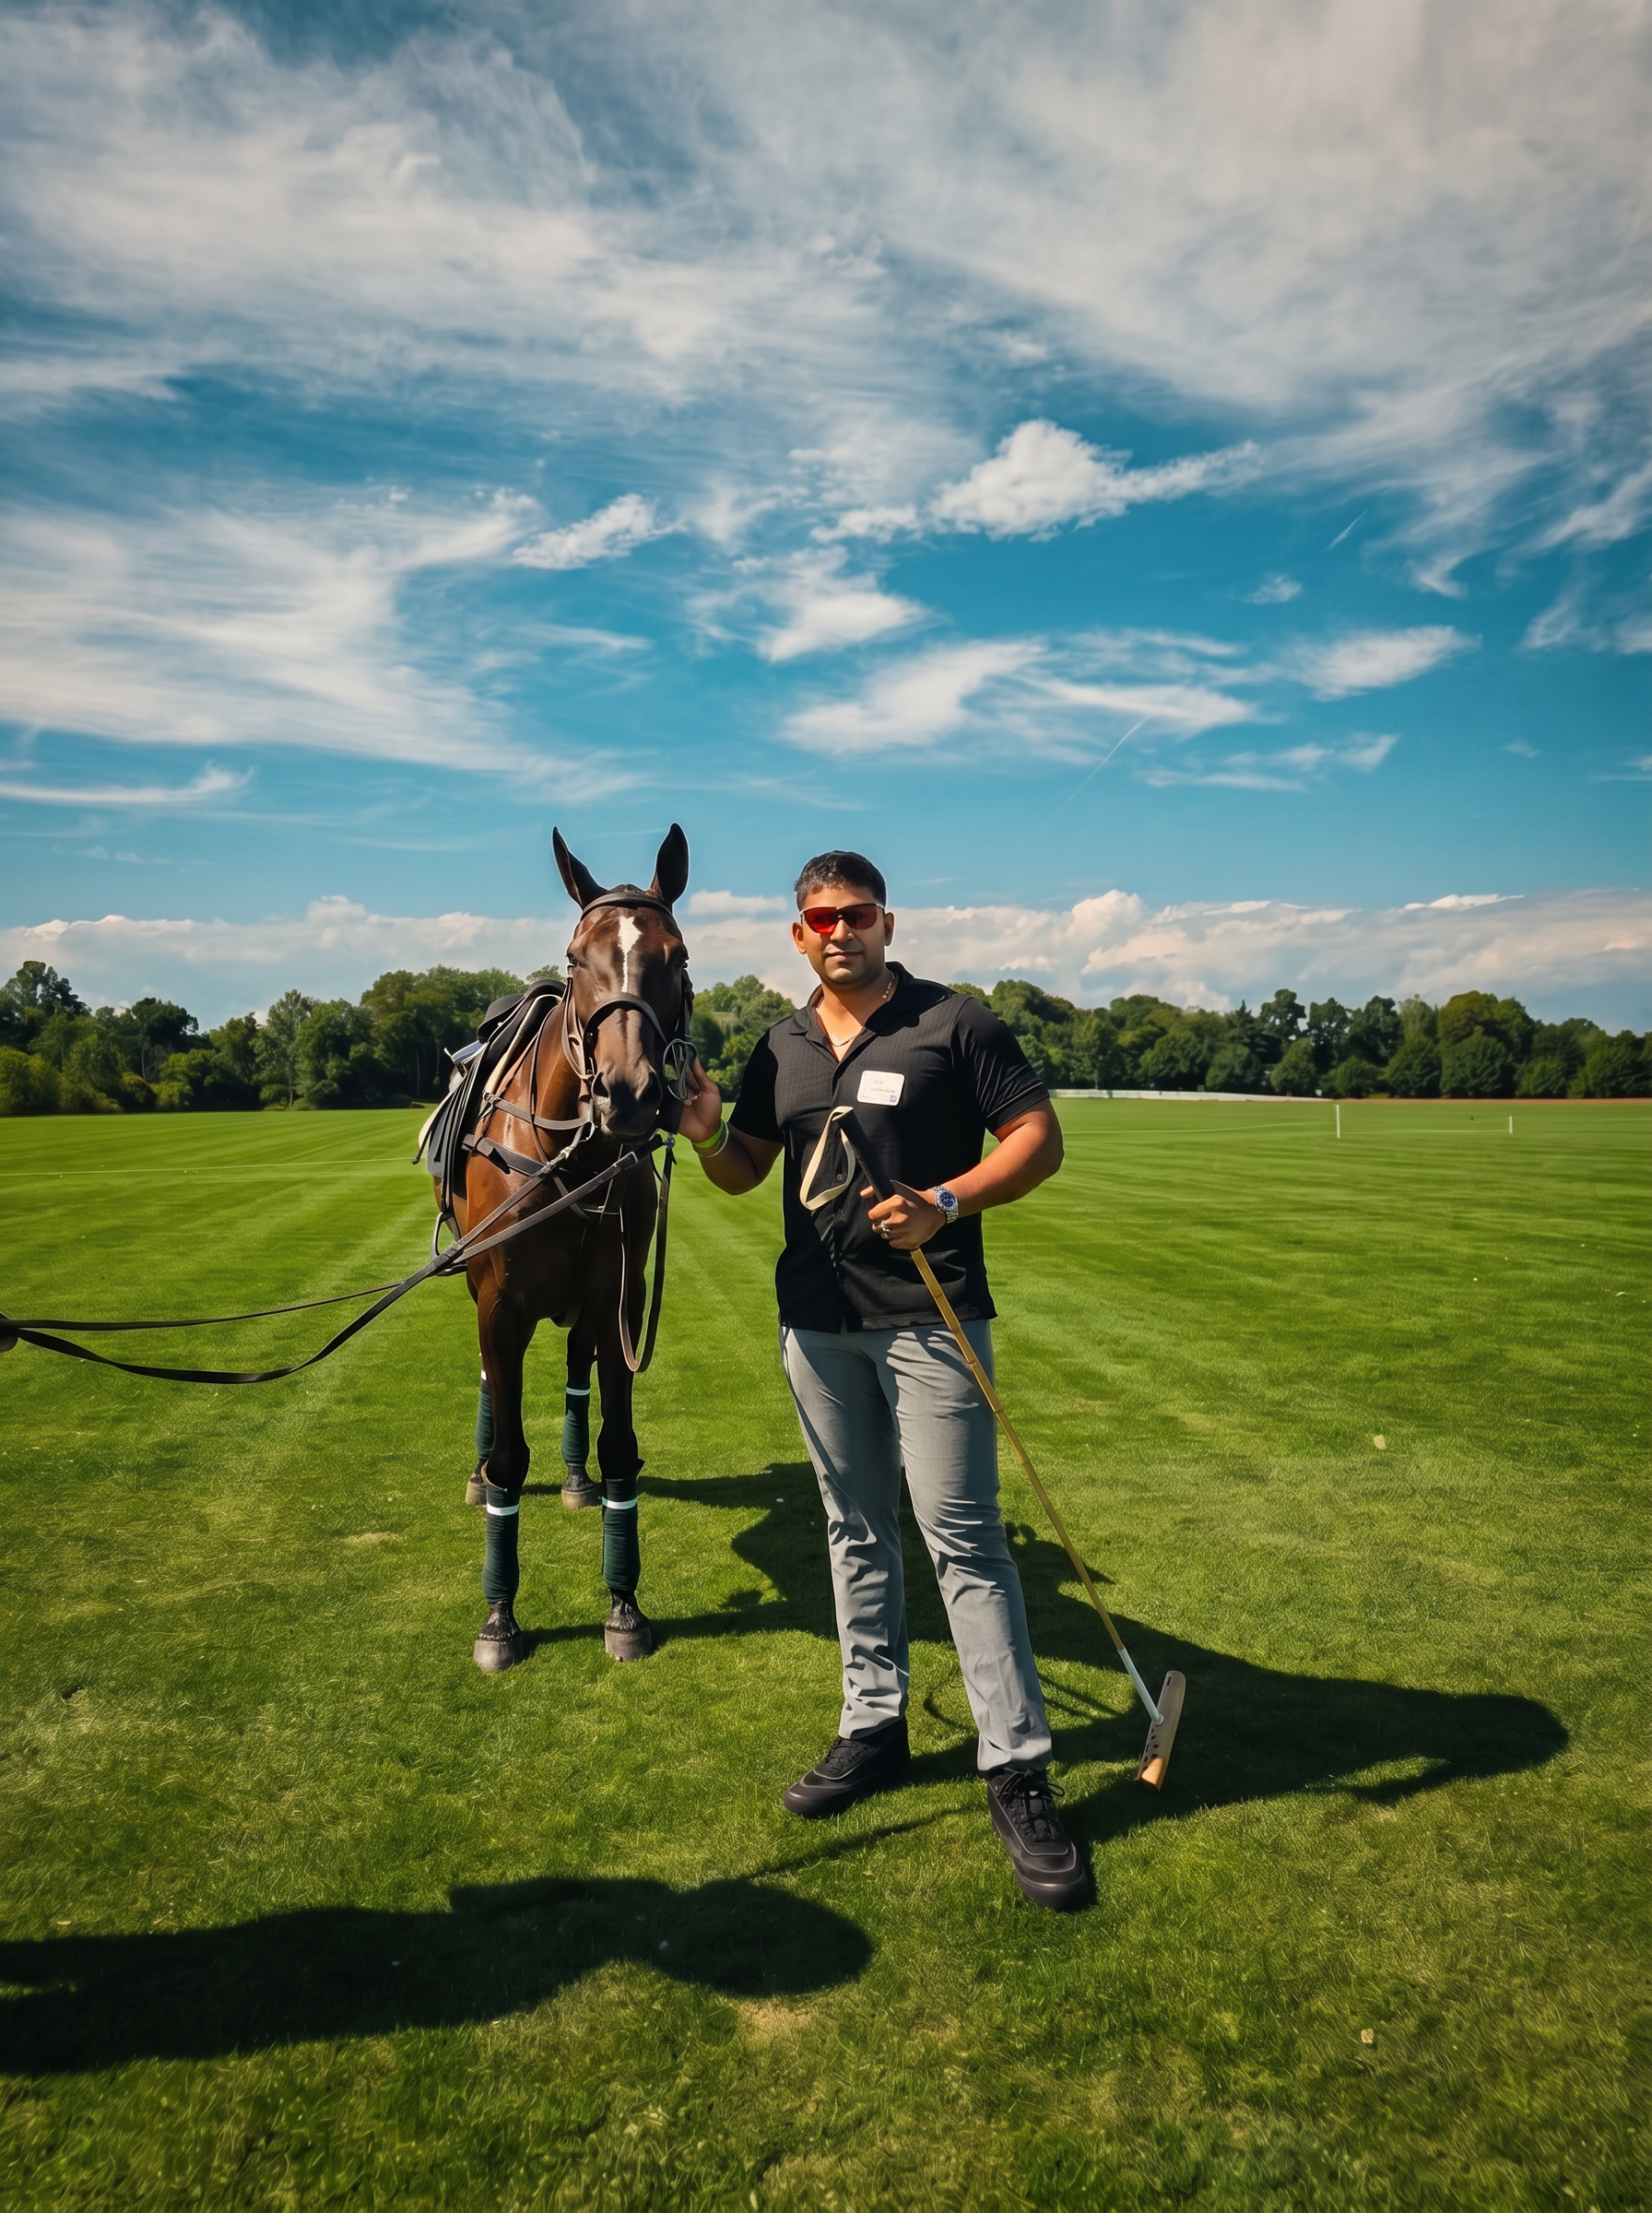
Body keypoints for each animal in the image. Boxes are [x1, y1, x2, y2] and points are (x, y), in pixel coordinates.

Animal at [435, 824, 693, 1673]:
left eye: (676, 956)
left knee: (578, 1367)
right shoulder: (500, 1303)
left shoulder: (621, 1298)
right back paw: (479, 1472)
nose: (629, 1094)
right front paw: (499, 1619)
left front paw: (624, 1605)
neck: (573, 1160)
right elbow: (512, 1455)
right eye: (578, 958)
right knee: (492, 1382)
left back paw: (575, 1479)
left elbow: (619, 1445)